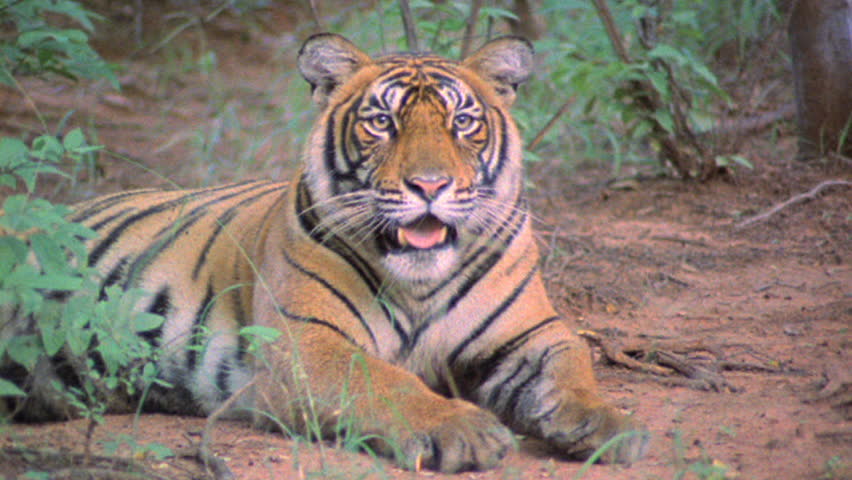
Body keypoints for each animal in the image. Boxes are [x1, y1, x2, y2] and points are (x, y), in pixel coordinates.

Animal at [1, 33, 647, 472]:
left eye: (463, 122)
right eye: (382, 122)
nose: (430, 185)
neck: (419, 281)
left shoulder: (530, 333)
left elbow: (575, 365)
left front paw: (608, 423)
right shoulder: (308, 343)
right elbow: (388, 381)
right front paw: (463, 430)